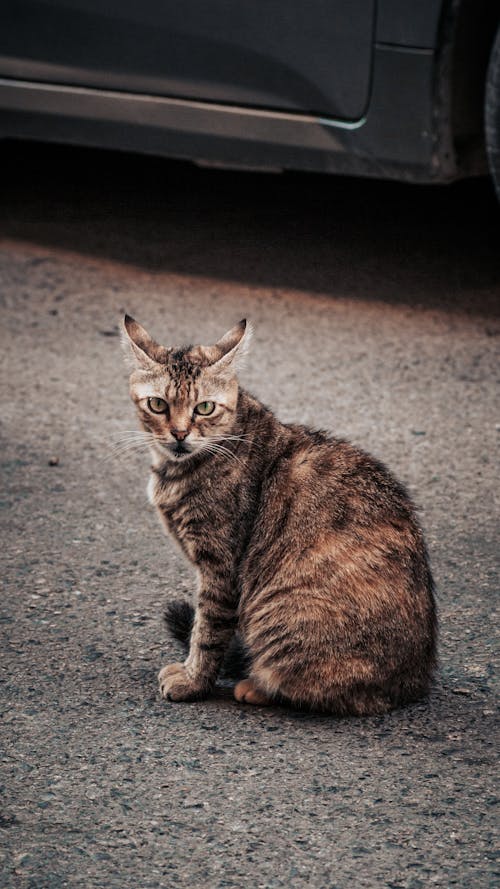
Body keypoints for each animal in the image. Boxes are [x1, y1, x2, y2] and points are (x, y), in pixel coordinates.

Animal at [123, 314, 436, 716]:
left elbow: (206, 632)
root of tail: (414, 683)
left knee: (327, 692)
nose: (179, 433)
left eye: (204, 408)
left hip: (287, 613)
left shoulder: (221, 568)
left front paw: (193, 681)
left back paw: (256, 685)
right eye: (158, 404)